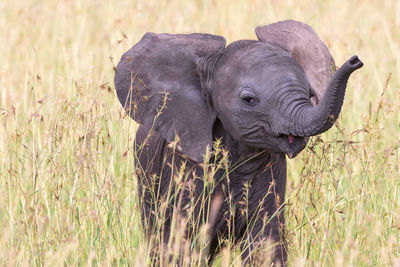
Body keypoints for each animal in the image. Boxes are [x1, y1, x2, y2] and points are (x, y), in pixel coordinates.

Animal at [113, 20, 362, 266]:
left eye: (310, 93)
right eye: (249, 100)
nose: (356, 60)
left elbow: (264, 243)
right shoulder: (182, 164)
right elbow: (183, 242)